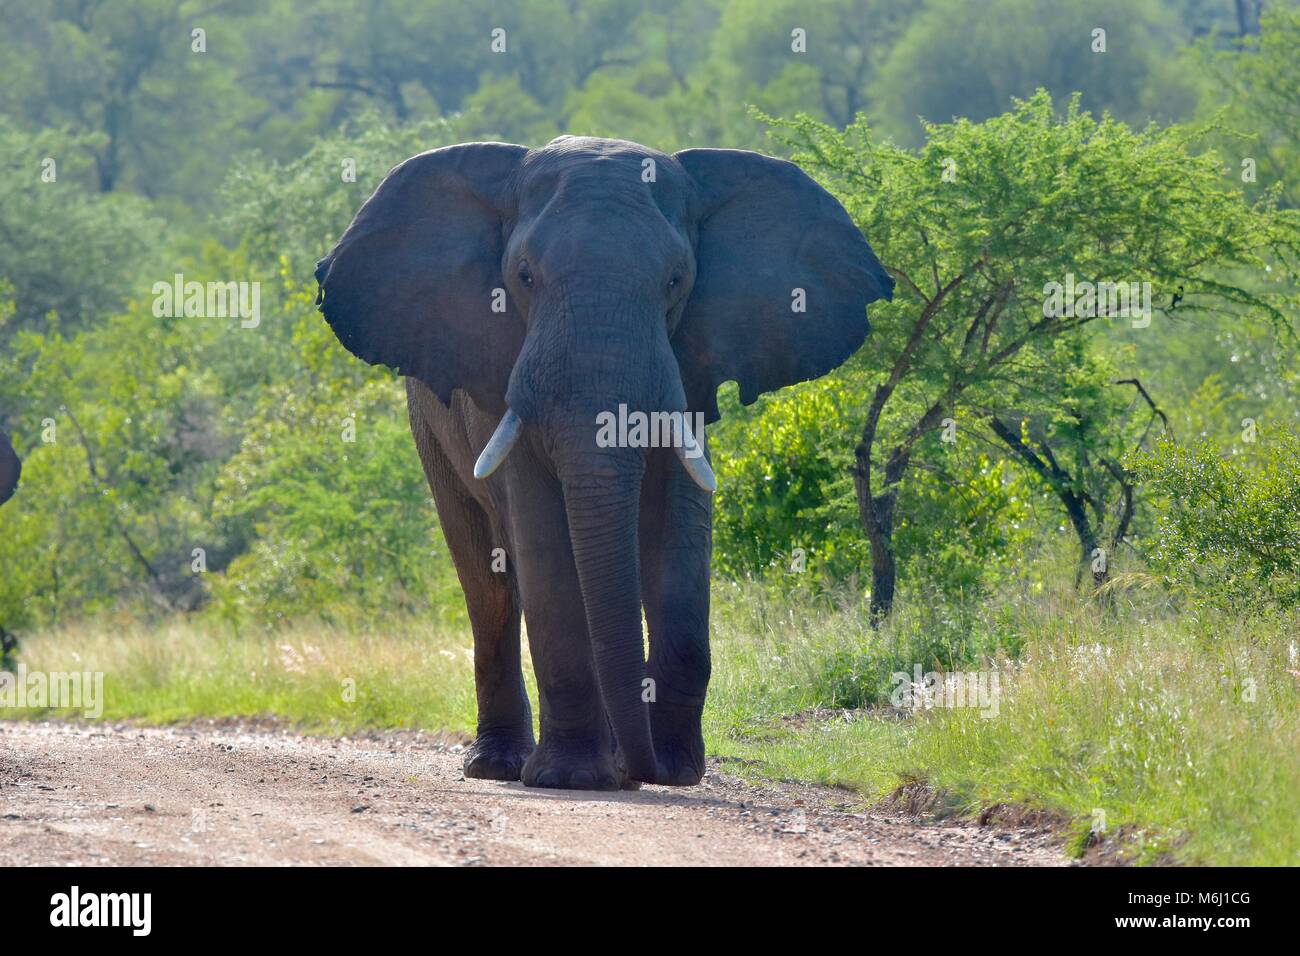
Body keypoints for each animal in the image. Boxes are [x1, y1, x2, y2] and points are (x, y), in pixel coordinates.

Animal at [315, 135, 892, 790]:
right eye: (524, 276)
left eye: (676, 280)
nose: (649, 769)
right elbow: (543, 546)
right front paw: (571, 779)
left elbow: (679, 533)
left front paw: (676, 772)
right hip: (430, 430)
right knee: (488, 583)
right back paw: (502, 766)